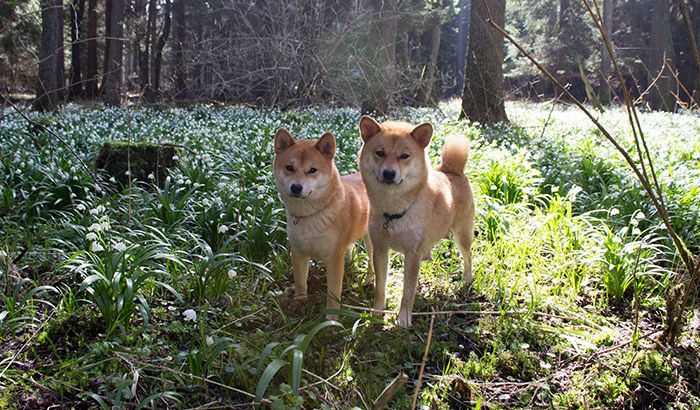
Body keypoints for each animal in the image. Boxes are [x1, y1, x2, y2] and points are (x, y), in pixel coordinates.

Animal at [274, 128, 372, 318]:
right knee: (351, 249)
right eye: (289, 168)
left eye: (312, 170)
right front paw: (300, 302)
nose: (296, 187)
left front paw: (331, 318)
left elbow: (333, 292)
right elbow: (300, 281)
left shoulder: (334, 258)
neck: (310, 215)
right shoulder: (298, 252)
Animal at [356, 117, 476, 328]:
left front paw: (404, 318)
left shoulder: (412, 255)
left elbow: (408, 292)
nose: (389, 173)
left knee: (468, 257)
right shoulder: (380, 249)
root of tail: (451, 171)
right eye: (380, 153)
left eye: (404, 156)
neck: (393, 211)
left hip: (462, 235)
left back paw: (467, 279)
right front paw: (377, 312)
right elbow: (380, 285)